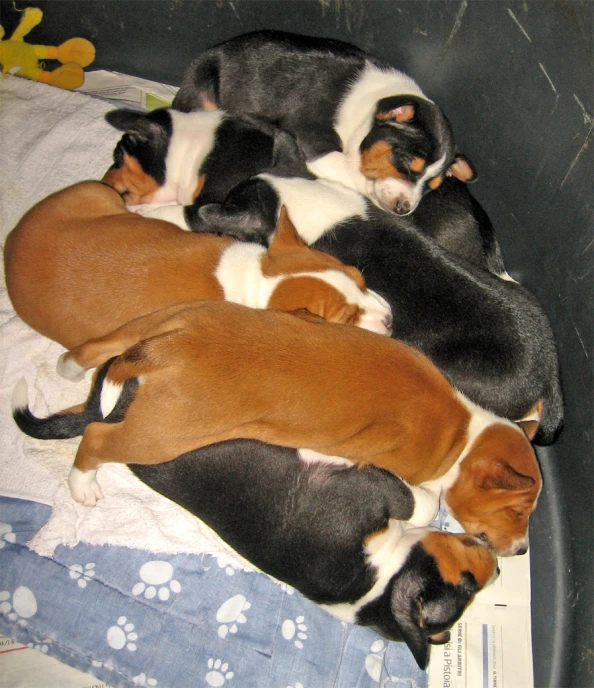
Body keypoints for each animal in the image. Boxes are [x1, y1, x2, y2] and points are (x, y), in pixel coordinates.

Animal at [5, 181, 394, 350]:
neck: (256, 277)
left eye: (360, 278)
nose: (391, 320)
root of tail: (9, 244)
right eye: (346, 319)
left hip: (93, 193)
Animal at [12, 298, 540, 556]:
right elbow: (425, 502)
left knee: (90, 350)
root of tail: (165, 347)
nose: (520, 551)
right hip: (160, 434)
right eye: (518, 511)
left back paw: (68, 368)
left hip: (150, 322)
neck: (463, 435)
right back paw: (82, 485)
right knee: (96, 438)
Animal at [131, 440, 500, 672]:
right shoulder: (373, 489)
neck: (379, 584)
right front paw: (438, 484)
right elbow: (420, 504)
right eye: (468, 587)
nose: (498, 570)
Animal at [171, 29, 476, 214]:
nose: (404, 208)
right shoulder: (315, 145)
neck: (368, 106)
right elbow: (352, 170)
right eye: (405, 162)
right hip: (204, 84)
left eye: (432, 187)